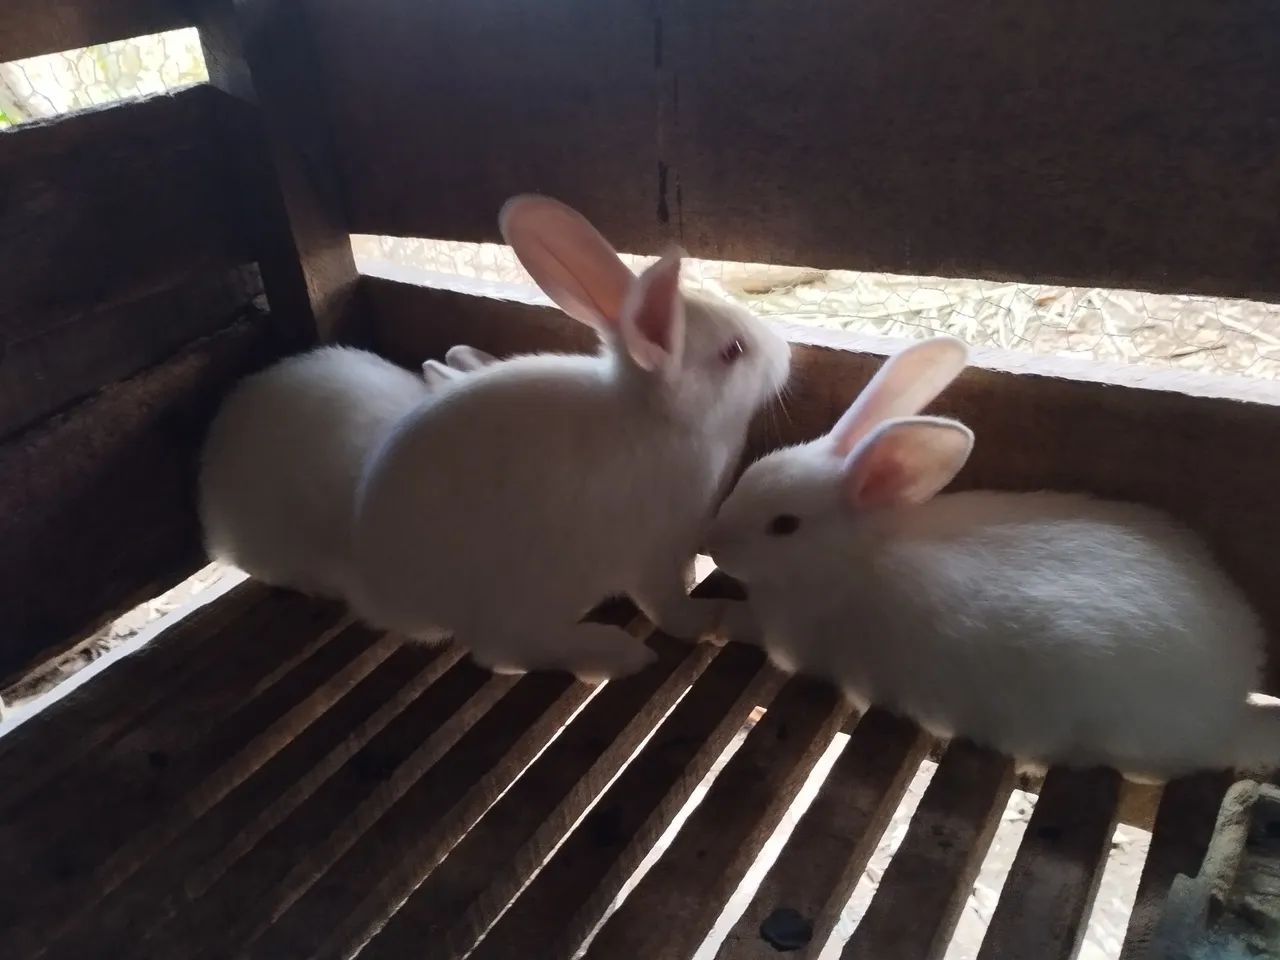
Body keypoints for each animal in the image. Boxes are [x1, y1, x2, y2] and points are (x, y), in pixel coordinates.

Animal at [352, 195, 791, 680]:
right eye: (734, 351)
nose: (787, 353)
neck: (663, 420)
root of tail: (384, 594)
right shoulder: (652, 555)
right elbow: (671, 609)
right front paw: (709, 617)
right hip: (524, 592)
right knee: (507, 651)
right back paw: (617, 653)